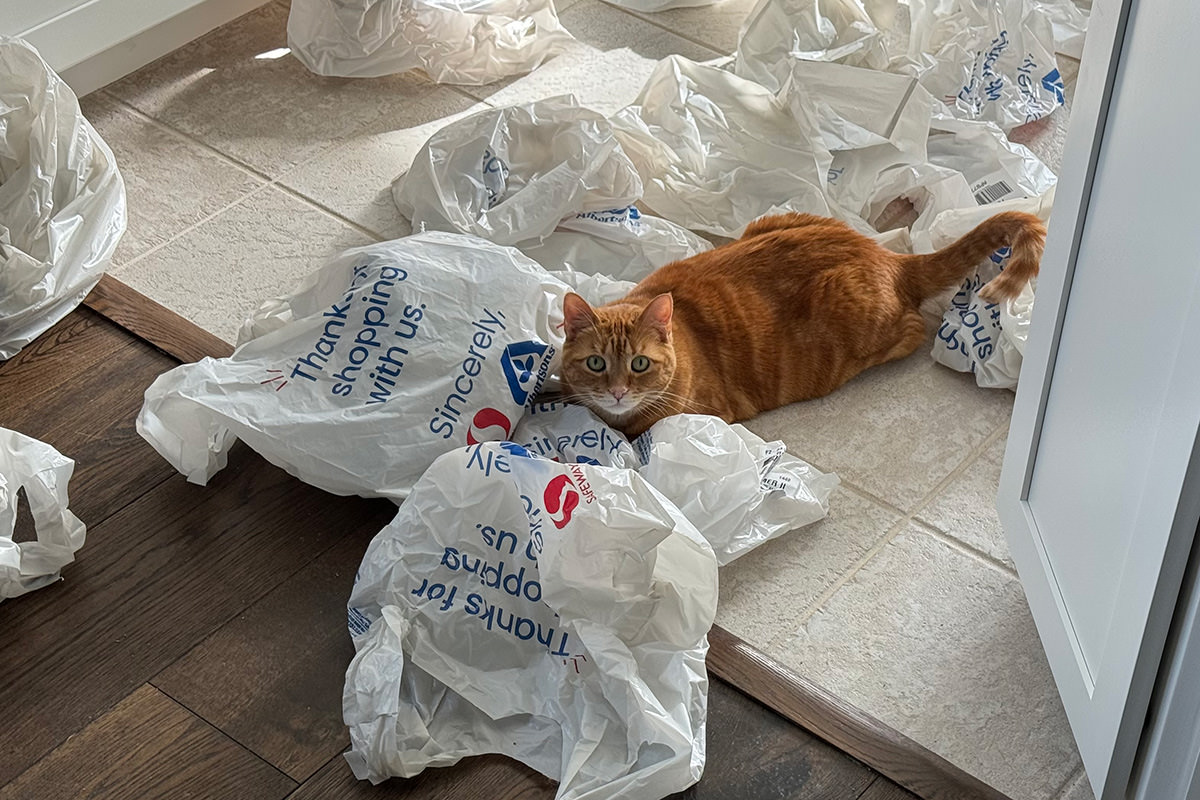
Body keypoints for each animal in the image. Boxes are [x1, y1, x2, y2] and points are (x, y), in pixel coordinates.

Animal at [559, 211, 1041, 438]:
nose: (617, 391)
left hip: (862, 321)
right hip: (773, 221)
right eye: (597, 364)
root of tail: (887, 257)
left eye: (639, 364)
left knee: (913, 329)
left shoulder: (706, 413)